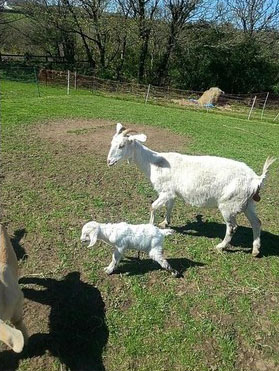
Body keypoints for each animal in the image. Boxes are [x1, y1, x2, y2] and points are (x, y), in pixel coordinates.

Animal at [107, 123, 276, 258]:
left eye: (122, 145)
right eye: (111, 143)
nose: (109, 162)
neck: (153, 163)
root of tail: (256, 179)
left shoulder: (165, 191)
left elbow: (153, 206)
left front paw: (151, 227)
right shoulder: (172, 193)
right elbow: (169, 207)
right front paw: (165, 222)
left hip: (229, 204)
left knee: (232, 227)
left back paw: (220, 247)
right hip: (248, 203)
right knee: (256, 222)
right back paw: (255, 250)